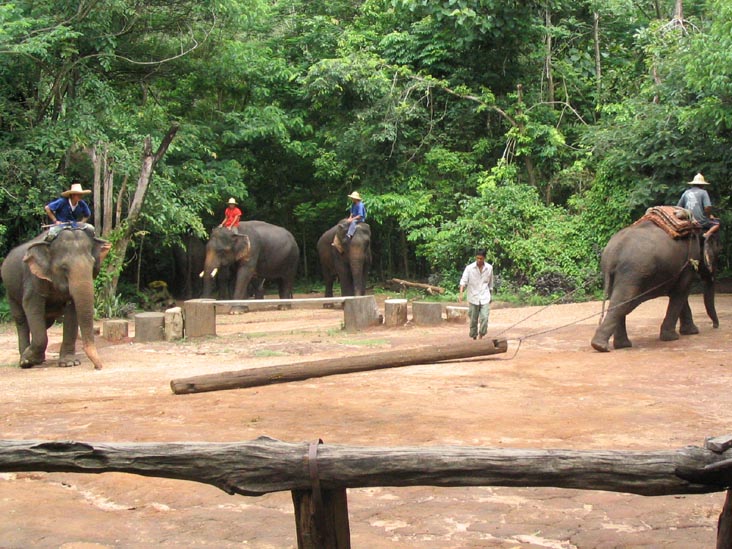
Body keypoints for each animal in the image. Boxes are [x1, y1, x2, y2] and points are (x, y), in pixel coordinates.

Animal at [1, 227, 110, 369]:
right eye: (64, 267)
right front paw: (27, 360)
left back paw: (37, 359)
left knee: (45, 322)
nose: (98, 367)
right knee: (21, 319)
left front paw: (69, 363)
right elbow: (32, 306)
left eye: (92, 264)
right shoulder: (33, 278)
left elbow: (72, 312)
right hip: (10, 291)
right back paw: (25, 361)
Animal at [591, 218, 720, 352]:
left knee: (618, 301)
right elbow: (681, 291)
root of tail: (612, 254)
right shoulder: (689, 263)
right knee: (624, 302)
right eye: (716, 254)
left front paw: (690, 332)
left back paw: (619, 345)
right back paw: (601, 346)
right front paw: (673, 337)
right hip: (633, 272)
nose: (715, 326)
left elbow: (680, 294)